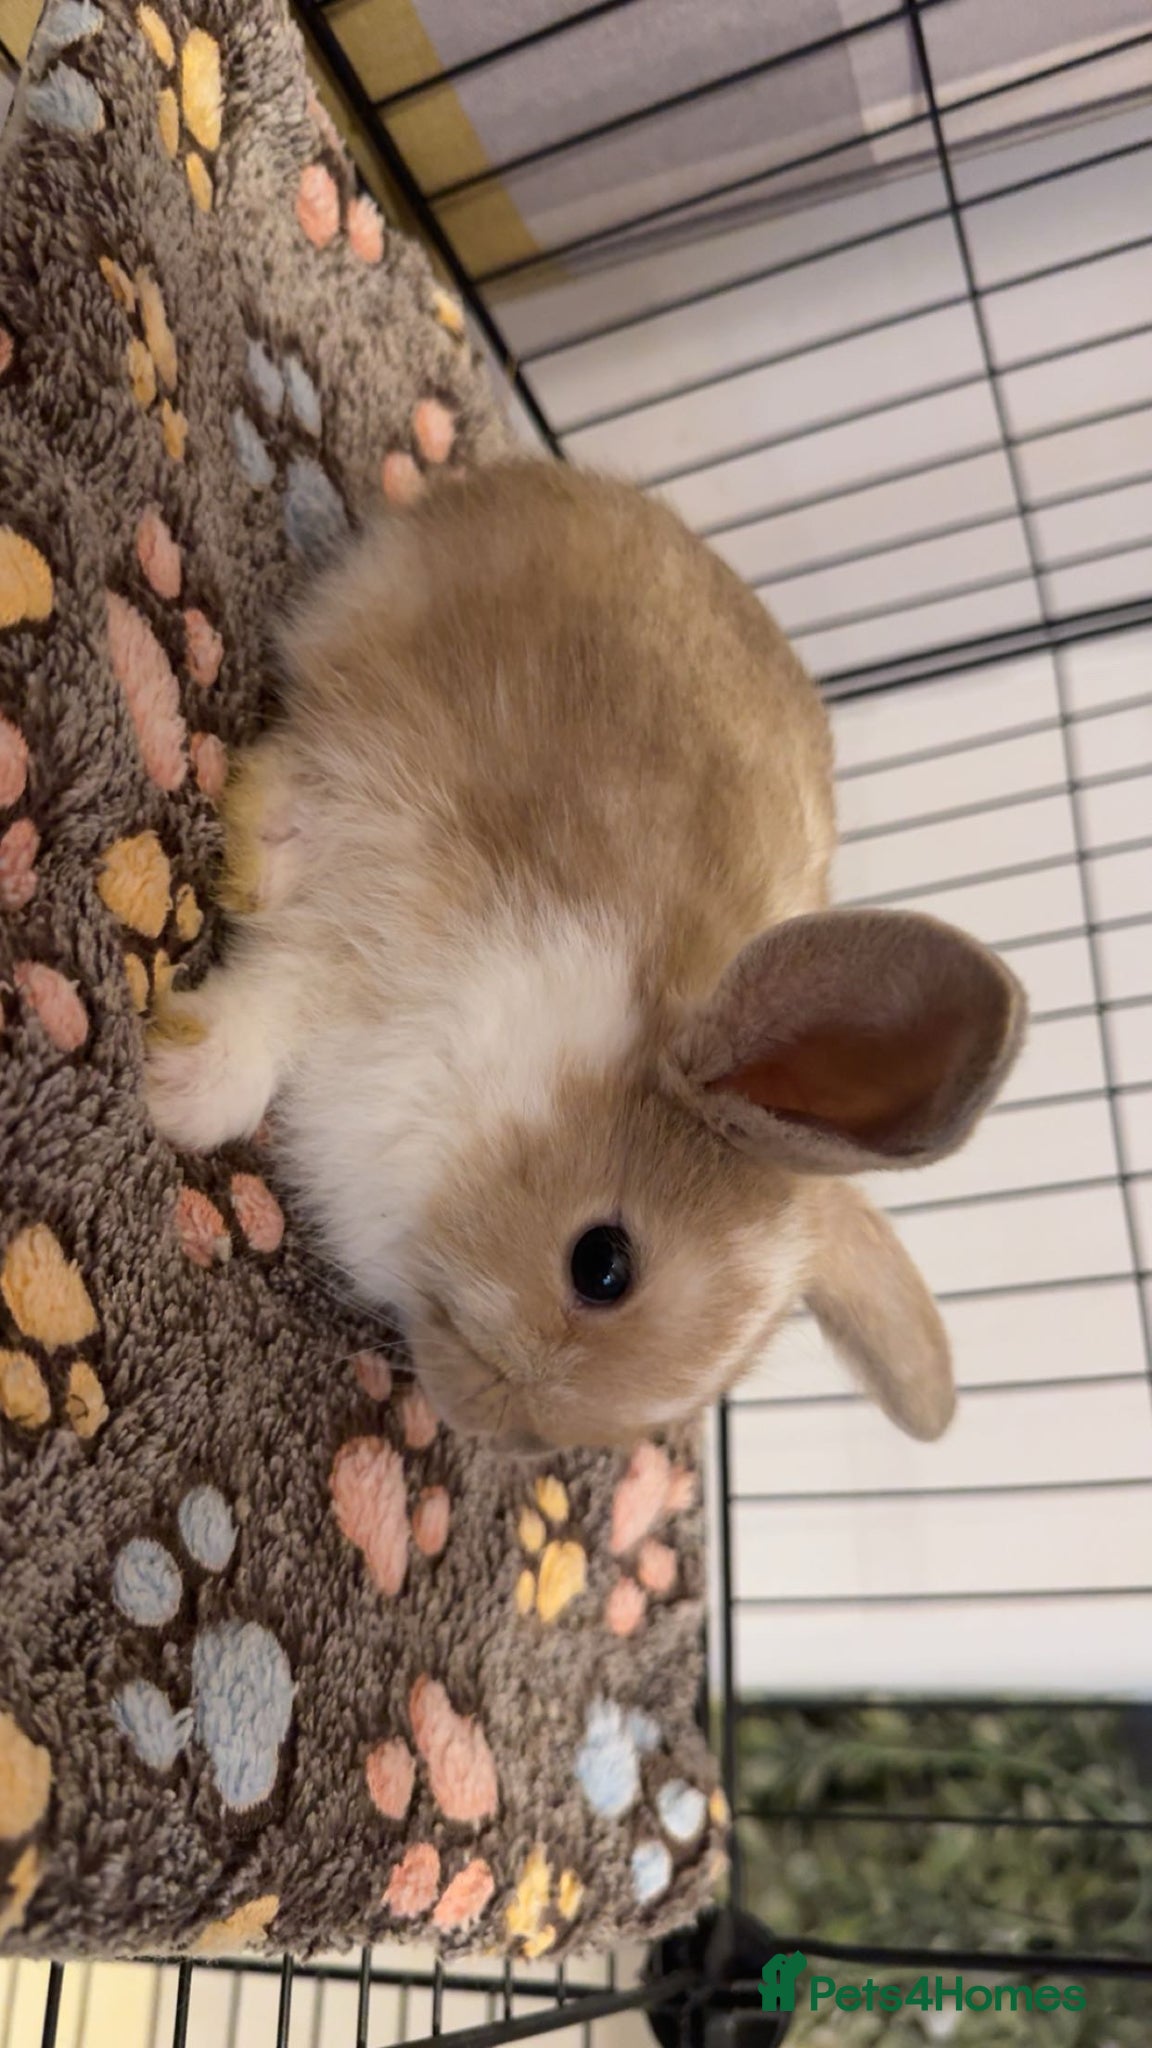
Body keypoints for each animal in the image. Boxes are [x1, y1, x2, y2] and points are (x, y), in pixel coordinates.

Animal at [145, 461, 1026, 1453]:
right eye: (601, 1265)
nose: (492, 1423)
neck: (538, 1079)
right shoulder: (385, 900)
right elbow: (273, 1002)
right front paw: (176, 1090)